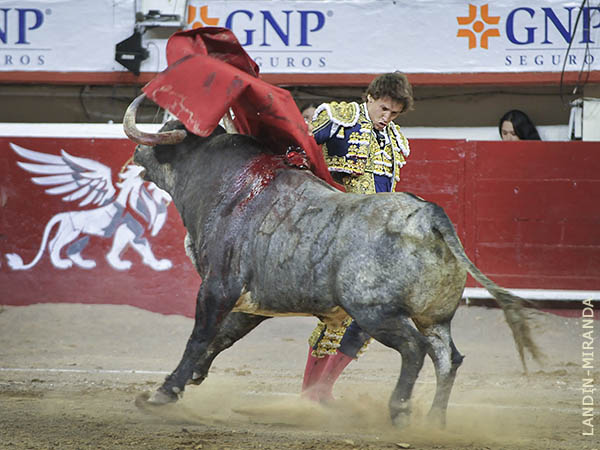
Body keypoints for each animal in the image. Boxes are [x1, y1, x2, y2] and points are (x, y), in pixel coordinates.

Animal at [124, 93, 540, 428]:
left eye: (169, 128)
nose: (135, 154)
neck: (230, 187)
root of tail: (430, 216)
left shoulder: (217, 286)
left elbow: (200, 336)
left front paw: (164, 392)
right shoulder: (255, 301)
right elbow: (223, 336)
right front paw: (192, 378)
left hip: (375, 311)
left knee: (413, 349)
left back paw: (399, 411)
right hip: (434, 317)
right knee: (446, 358)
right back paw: (434, 421)